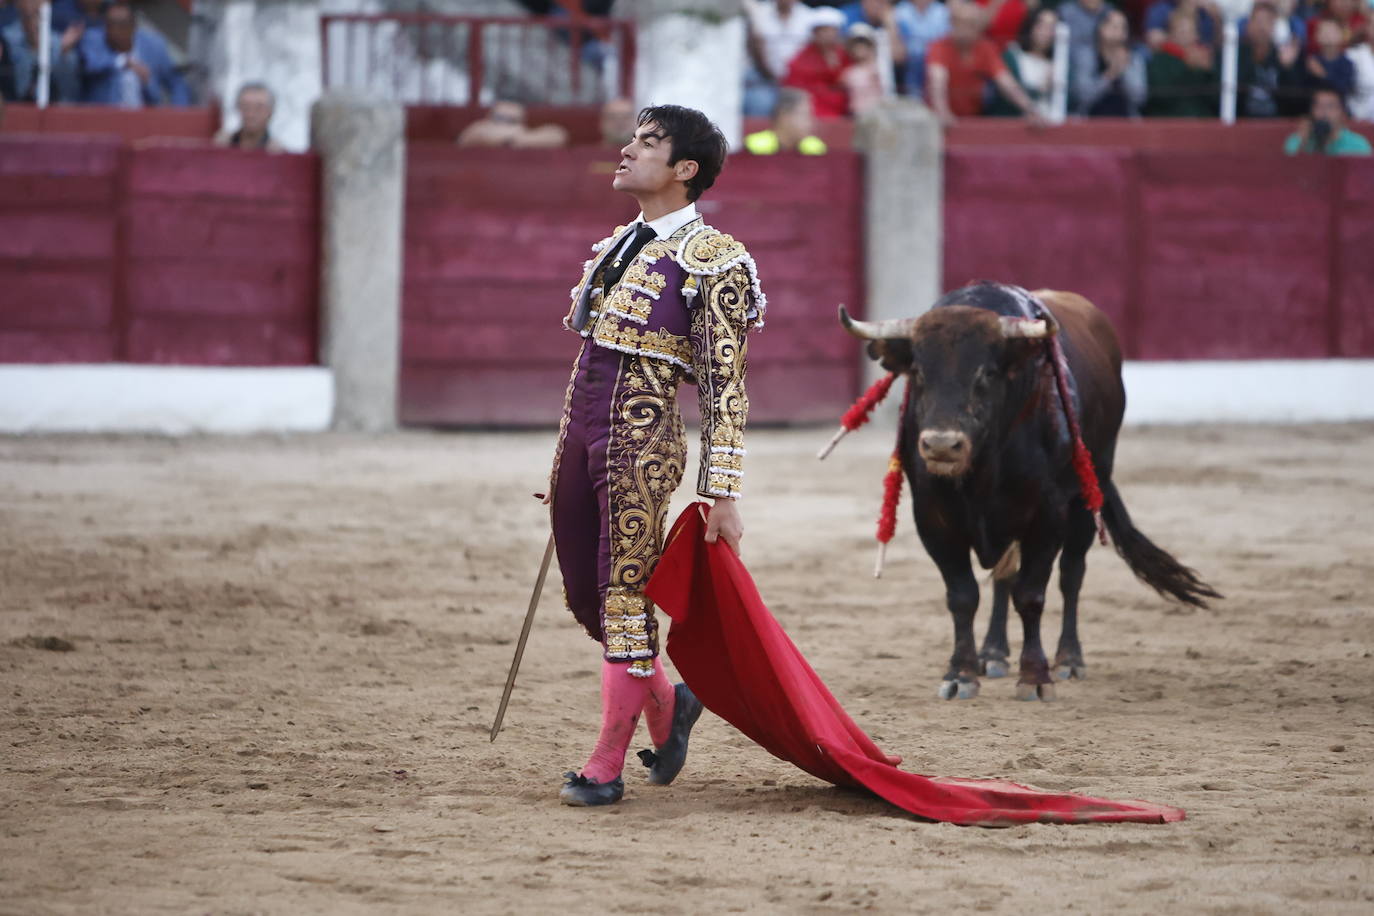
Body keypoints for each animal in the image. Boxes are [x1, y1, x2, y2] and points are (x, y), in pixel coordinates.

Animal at [840, 282, 1220, 697]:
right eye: (919, 373)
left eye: (987, 374)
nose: (941, 445)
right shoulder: (932, 515)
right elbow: (963, 595)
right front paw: (961, 674)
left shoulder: (1047, 513)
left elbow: (1032, 594)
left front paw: (1036, 677)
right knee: (1004, 577)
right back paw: (993, 653)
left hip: (1090, 490)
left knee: (1071, 574)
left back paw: (1069, 659)